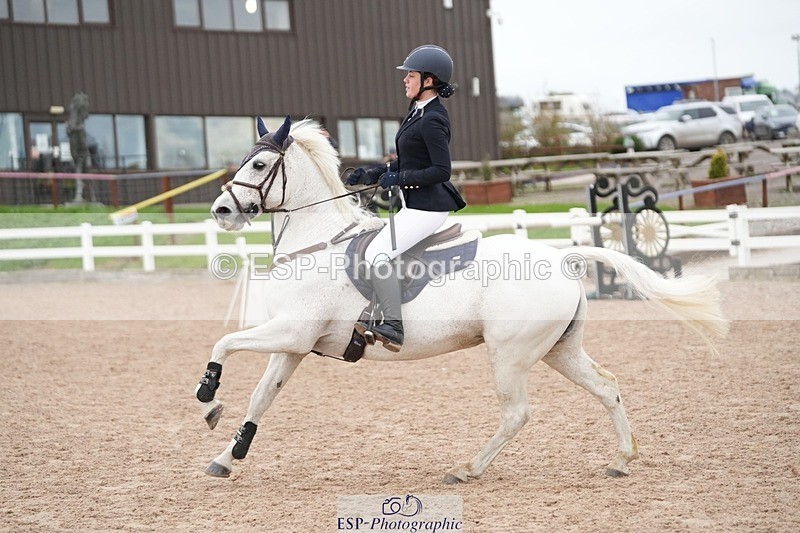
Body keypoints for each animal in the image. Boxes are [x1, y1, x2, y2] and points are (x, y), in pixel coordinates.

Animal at [196, 116, 728, 483]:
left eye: (259, 164)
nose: (220, 210)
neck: (317, 242)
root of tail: (562, 258)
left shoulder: (291, 331)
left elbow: (224, 344)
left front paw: (207, 396)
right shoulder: (295, 344)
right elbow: (262, 396)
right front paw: (226, 456)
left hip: (510, 354)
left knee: (516, 413)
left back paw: (467, 468)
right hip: (559, 350)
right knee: (606, 386)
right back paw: (621, 460)